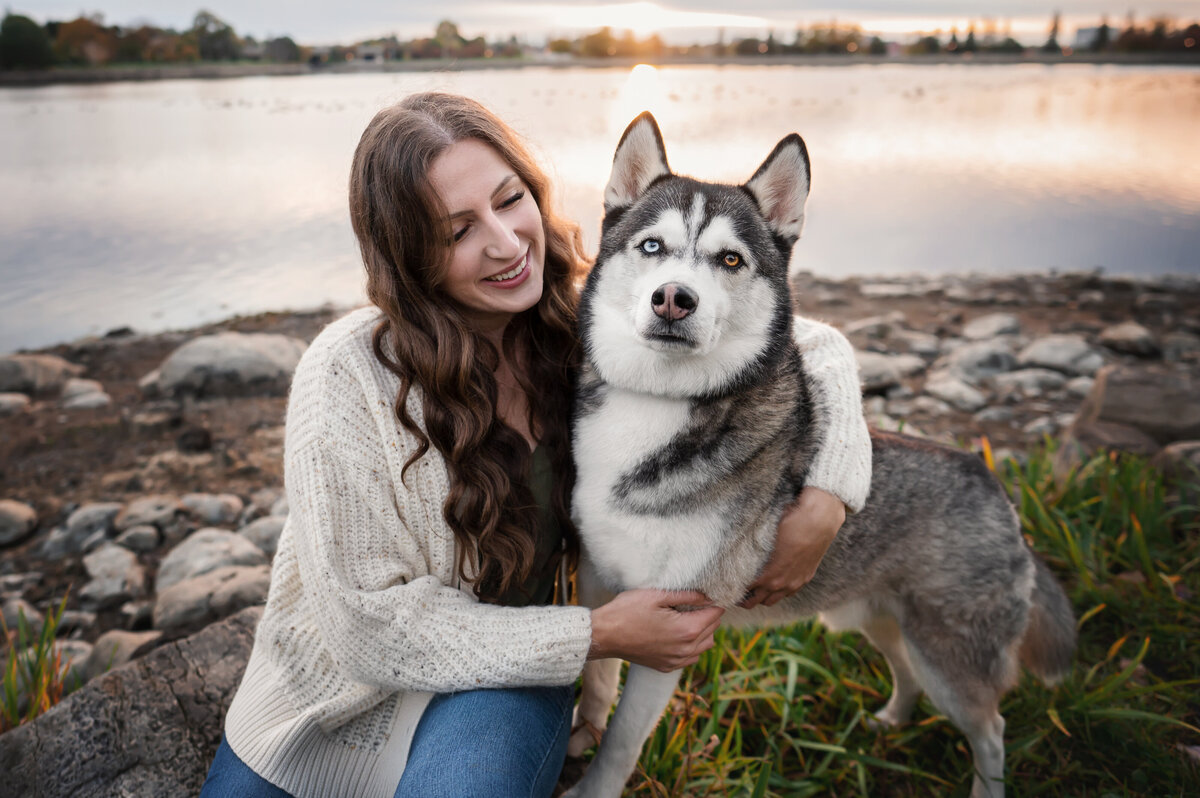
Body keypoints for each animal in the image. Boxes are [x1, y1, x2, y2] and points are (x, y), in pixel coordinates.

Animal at [564, 113, 1080, 796]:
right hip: (872, 618)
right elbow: (597, 679)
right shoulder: (600, 583)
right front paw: (582, 731)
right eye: (651, 247)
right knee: (904, 670)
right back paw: (890, 721)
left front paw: (591, 782)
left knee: (989, 730)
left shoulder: (676, 621)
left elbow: (622, 741)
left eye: (731, 258)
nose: (674, 298)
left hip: (951, 659)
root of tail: (993, 483)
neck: (657, 402)